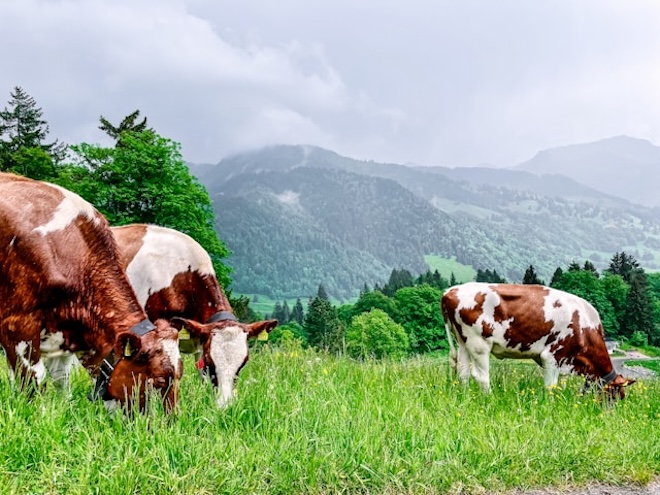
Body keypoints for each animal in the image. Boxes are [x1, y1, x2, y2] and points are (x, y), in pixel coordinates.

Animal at [0, 173, 183, 413]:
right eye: (159, 380)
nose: (172, 421)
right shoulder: (17, 326)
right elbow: (32, 381)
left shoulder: (64, 337)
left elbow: (62, 381)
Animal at [441, 282, 635, 399]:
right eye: (616, 395)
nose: (609, 415)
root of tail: (449, 291)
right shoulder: (552, 356)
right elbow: (550, 386)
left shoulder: (564, 362)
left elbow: (560, 384)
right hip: (479, 344)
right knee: (481, 376)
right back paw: (490, 399)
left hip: (462, 342)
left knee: (463, 373)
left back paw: (466, 397)